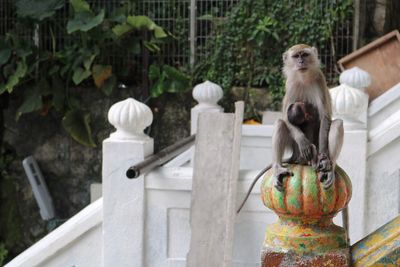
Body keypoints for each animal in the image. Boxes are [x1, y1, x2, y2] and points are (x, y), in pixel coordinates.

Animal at [272, 44, 344, 192]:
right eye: (296, 56)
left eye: (304, 55)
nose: (301, 62)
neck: (303, 78)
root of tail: (296, 157)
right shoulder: (290, 84)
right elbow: (285, 117)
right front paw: (303, 141)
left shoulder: (320, 79)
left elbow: (325, 117)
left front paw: (324, 157)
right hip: (295, 148)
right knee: (280, 123)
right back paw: (278, 168)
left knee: (337, 124)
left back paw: (329, 168)